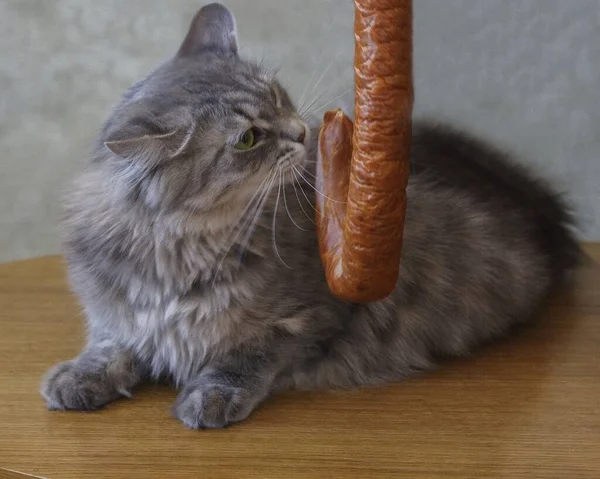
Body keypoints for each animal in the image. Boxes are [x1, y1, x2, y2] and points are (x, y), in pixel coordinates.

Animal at [38, 2, 580, 432]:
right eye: (247, 139)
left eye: (278, 95)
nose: (302, 133)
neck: (178, 252)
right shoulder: (117, 315)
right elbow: (111, 346)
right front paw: (76, 378)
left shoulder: (314, 315)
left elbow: (246, 356)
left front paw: (209, 395)